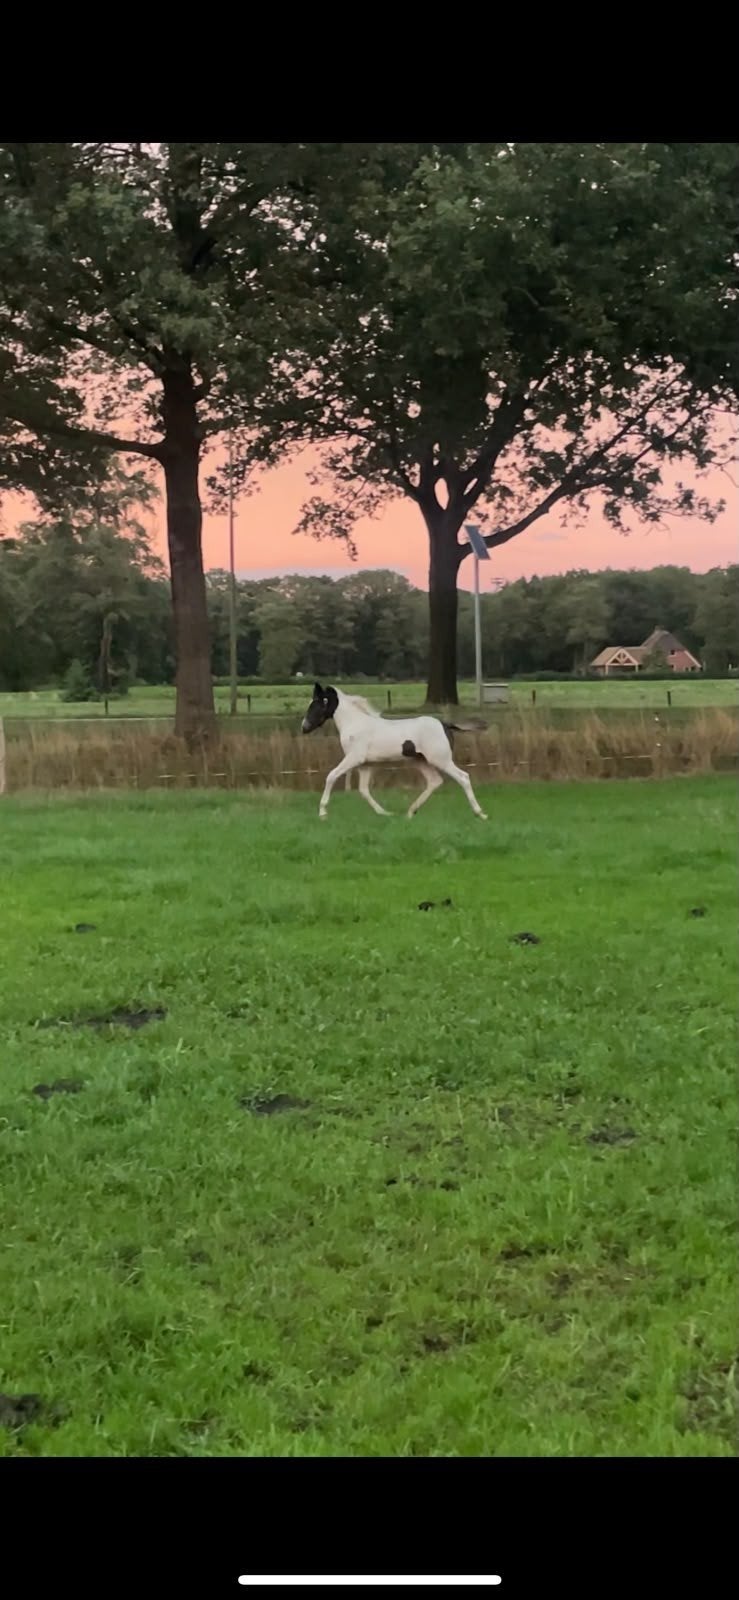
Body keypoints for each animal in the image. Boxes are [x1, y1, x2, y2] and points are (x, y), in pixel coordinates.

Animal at [301, 683, 488, 821]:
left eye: (317, 704)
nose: (304, 727)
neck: (355, 724)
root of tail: (445, 724)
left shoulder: (353, 758)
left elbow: (331, 776)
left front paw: (322, 812)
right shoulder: (365, 765)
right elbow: (363, 790)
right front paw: (384, 813)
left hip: (441, 760)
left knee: (463, 777)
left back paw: (480, 813)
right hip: (420, 761)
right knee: (434, 781)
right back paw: (410, 812)